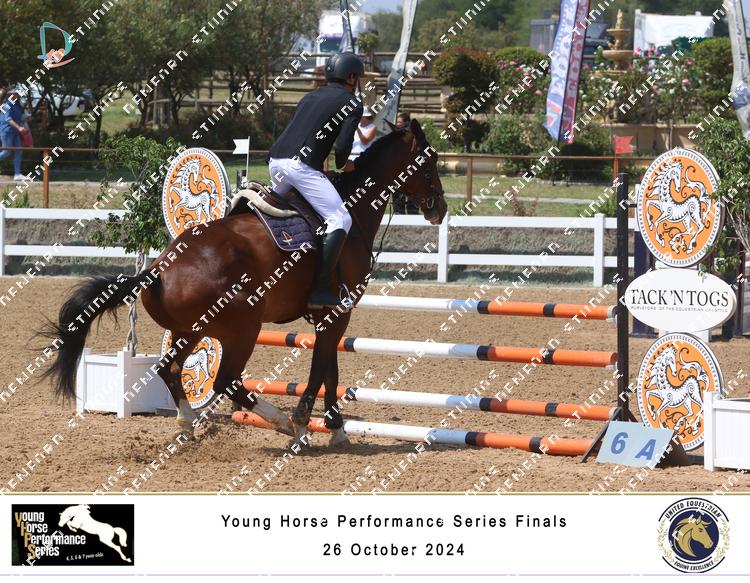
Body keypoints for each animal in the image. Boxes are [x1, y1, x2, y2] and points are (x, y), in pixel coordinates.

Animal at [41, 119, 447, 446]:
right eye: (430, 160)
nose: (440, 208)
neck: (353, 208)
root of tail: (158, 268)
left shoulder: (327, 316)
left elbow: (330, 369)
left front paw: (336, 429)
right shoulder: (337, 312)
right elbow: (321, 370)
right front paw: (310, 424)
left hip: (190, 330)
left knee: (169, 369)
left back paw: (186, 423)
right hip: (243, 325)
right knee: (226, 381)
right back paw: (280, 421)